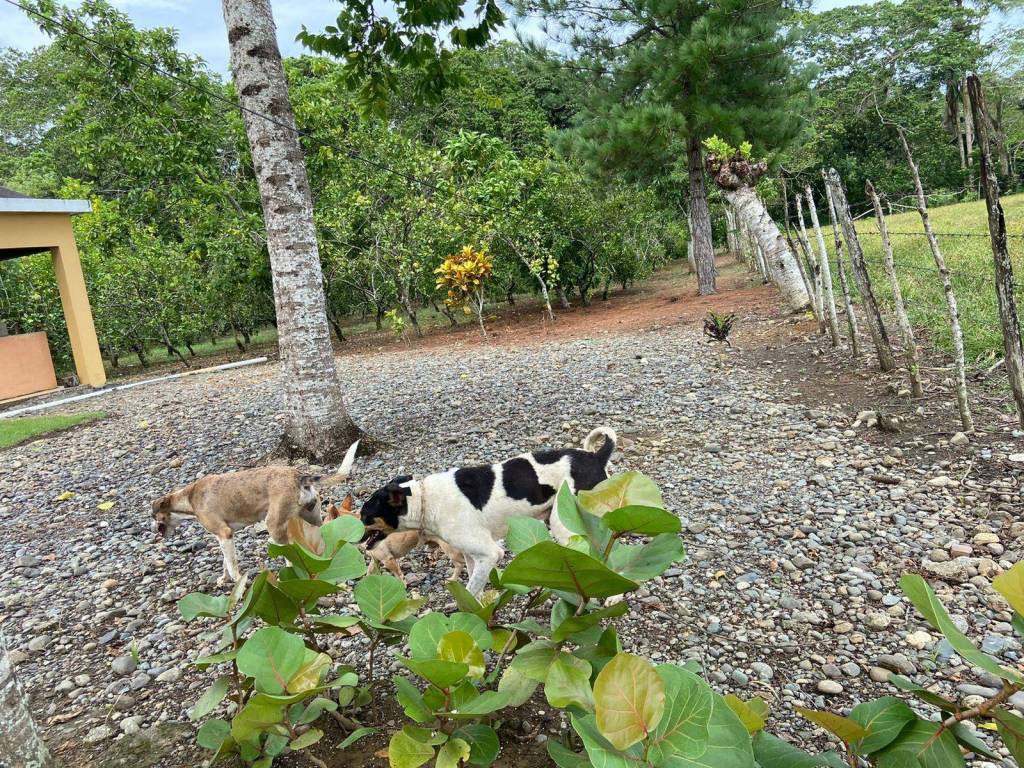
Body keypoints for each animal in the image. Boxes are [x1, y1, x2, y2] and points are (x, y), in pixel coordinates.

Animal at [151, 441, 358, 584]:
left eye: (154, 516)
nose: (152, 530)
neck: (190, 498)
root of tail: (299, 476)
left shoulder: (225, 534)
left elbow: (231, 564)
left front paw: (238, 583)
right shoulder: (222, 537)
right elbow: (225, 562)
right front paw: (224, 580)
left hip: (274, 526)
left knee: (292, 552)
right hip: (312, 519)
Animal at [359, 427, 616, 595]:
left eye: (364, 516)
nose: (356, 540)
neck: (424, 499)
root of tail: (596, 457)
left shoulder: (490, 554)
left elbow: (471, 592)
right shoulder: (474, 557)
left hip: (564, 525)